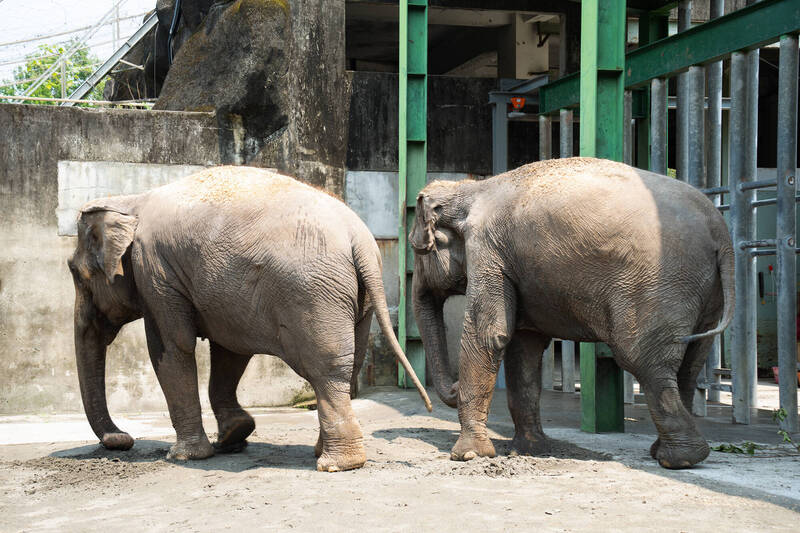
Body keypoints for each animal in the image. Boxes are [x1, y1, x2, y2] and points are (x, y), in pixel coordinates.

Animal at [68, 166, 431, 472]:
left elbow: (172, 348)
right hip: (360, 300)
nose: (122, 440)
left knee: (326, 369)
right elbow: (229, 350)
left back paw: (336, 465)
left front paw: (184, 455)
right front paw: (234, 436)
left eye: (74, 272)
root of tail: (360, 242)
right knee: (348, 366)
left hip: (314, 296)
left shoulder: (156, 274)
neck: (130, 200)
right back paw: (325, 453)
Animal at [409, 157, 734, 469]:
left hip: (658, 285)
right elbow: (524, 347)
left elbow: (489, 334)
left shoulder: (487, 250)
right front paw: (528, 451)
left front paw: (468, 456)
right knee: (690, 363)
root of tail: (721, 233)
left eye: (416, 250)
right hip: (704, 292)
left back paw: (679, 459)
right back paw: (667, 453)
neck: (471, 189)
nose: (453, 385)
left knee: (642, 358)